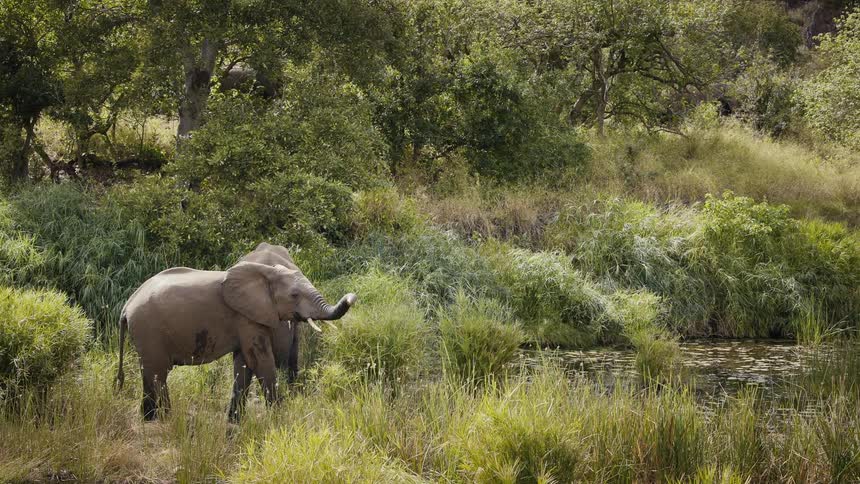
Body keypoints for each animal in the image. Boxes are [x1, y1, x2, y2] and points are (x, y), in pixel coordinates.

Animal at [114, 250, 356, 421]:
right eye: (294, 295)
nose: (351, 295)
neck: (266, 272)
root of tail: (127, 306)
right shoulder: (246, 316)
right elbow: (259, 361)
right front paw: (280, 419)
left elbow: (244, 364)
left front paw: (234, 422)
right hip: (148, 329)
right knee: (158, 373)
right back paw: (161, 420)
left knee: (153, 373)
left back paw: (151, 419)